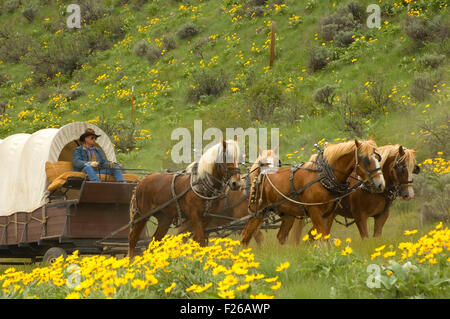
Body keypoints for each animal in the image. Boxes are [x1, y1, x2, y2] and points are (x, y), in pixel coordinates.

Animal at [241, 139, 384, 246]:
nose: (380, 184)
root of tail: (262, 173)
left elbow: (325, 236)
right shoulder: (315, 212)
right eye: (366, 159)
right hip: (258, 212)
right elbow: (321, 237)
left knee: (281, 236)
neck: (323, 177)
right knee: (245, 236)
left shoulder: (328, 214)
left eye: (378, 158)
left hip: (288, 214)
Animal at [288, 145, 418, 242]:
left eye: (414, 168)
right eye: (401, 167)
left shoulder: (382, 215)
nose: (409, 195)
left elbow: (376, 238)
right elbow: (365, 238)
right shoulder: (360, 216)